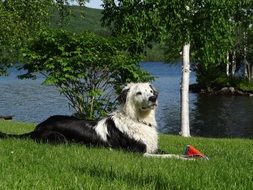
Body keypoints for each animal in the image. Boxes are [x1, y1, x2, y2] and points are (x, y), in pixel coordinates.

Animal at [0, 82, 186, 158]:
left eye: (150, 91)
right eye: (139, 93)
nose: (153, 98)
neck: (137, 119)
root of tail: (38, 126)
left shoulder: (152, 148)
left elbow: (169, 152)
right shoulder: (138, 152)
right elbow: (169, 156)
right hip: (58, 138)